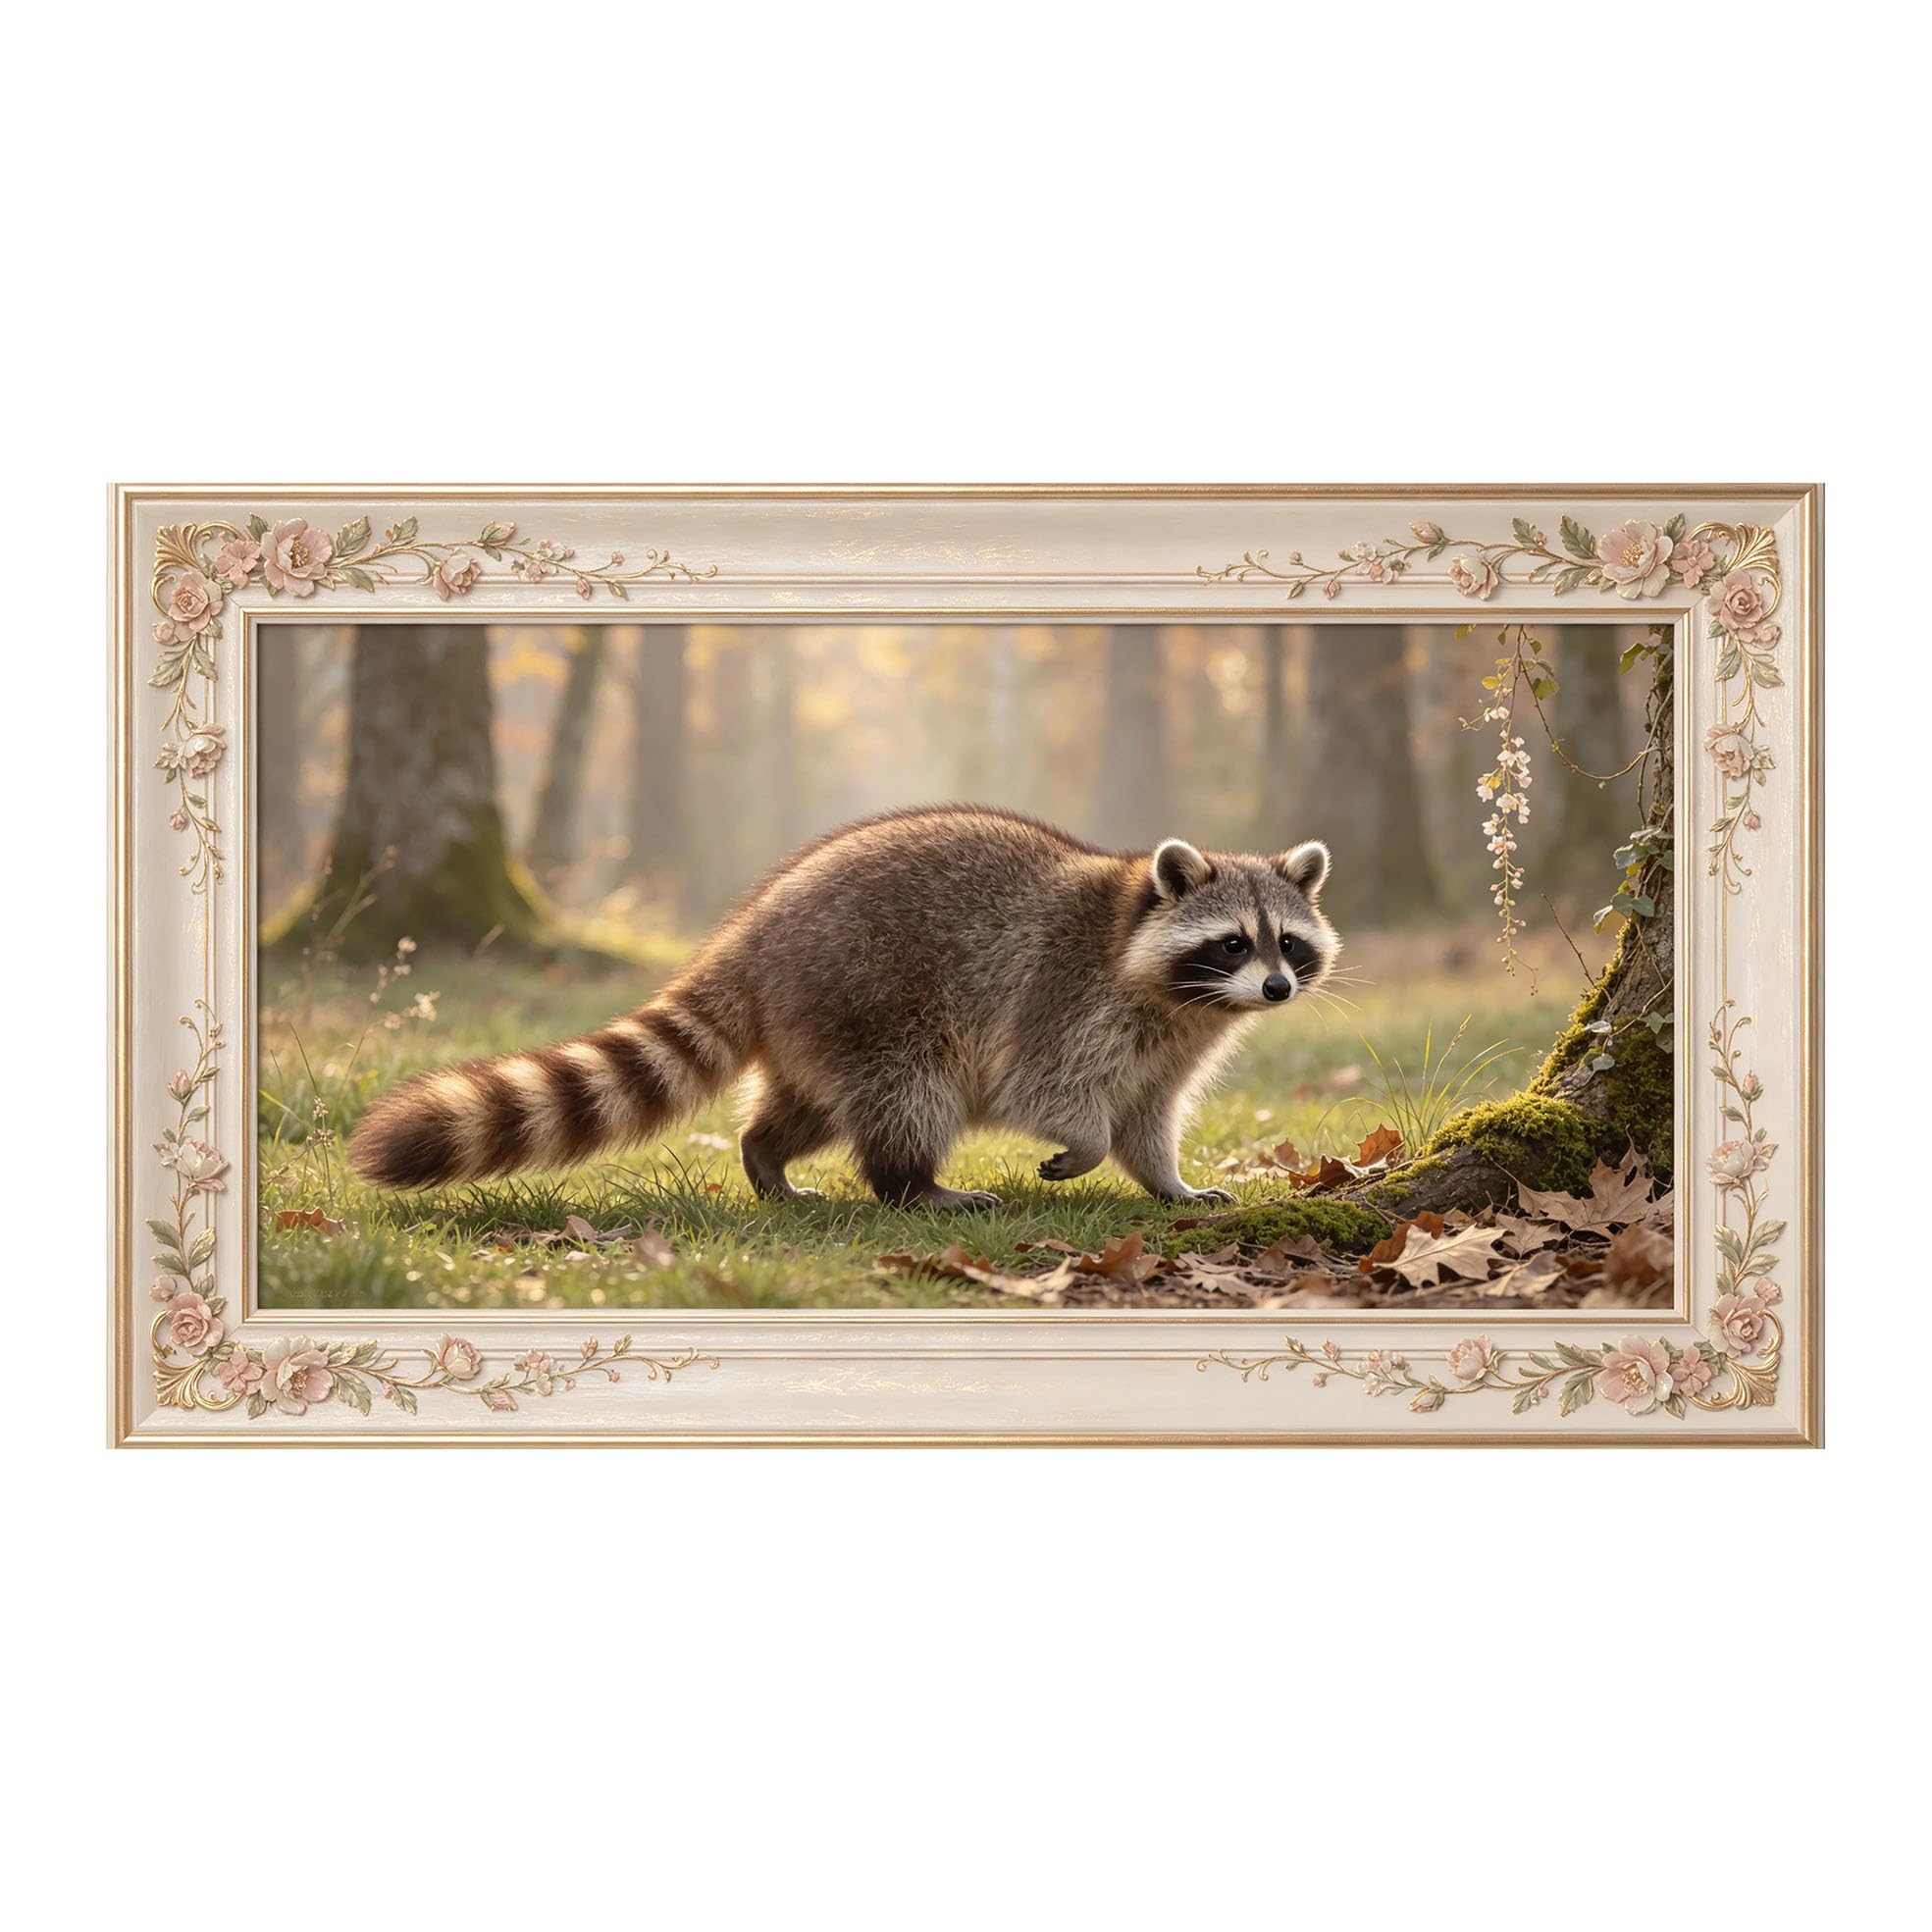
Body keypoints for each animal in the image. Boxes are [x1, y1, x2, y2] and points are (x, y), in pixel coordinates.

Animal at [348, 806, 1340, 1208]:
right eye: (1232, 944)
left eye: (1286, 945)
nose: (1278, 989)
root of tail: (750, 931)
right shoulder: (1068, 996)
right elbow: (1043, 1087)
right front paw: (1085, 1143)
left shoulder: (1169, 1042)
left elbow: (1147, 1115)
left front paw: (1167, 1179)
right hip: (868, 994)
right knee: (910, 1094)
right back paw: (913, 1184)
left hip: (815, 1023)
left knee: (807, 1107)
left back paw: (767, 1154)